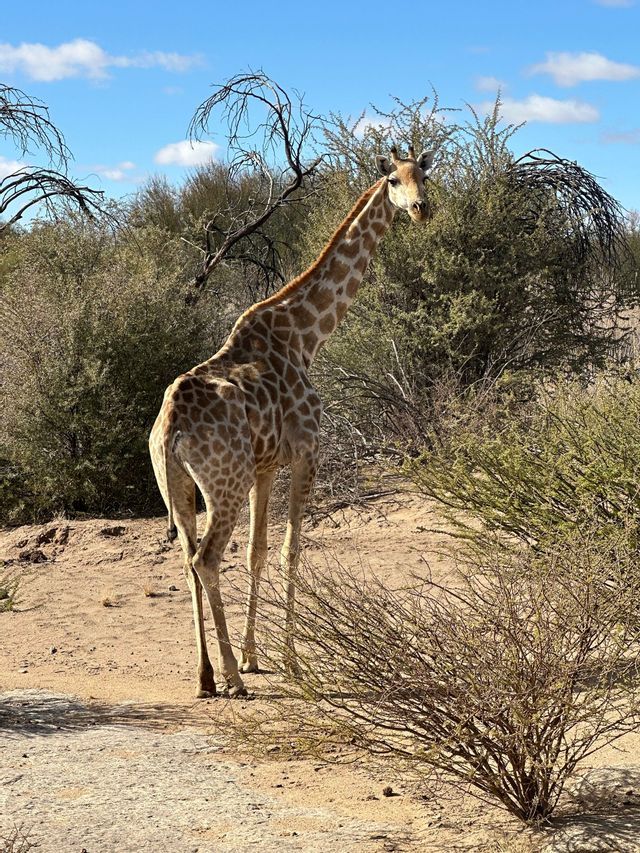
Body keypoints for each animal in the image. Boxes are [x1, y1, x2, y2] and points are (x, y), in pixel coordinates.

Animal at [149, 144, 435, 698]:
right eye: (393, 179)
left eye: (424, 176)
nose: (420, 210)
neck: (306, 335)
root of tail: (170, 427)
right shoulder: (307, 452)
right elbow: (291, 550)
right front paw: (289, 661)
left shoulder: (265, 467)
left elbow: (258, 552)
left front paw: (255, 656)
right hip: (225, 483)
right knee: (205, 559)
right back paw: (230, 679)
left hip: (178, 485)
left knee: (187, 561)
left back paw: (205, 676)